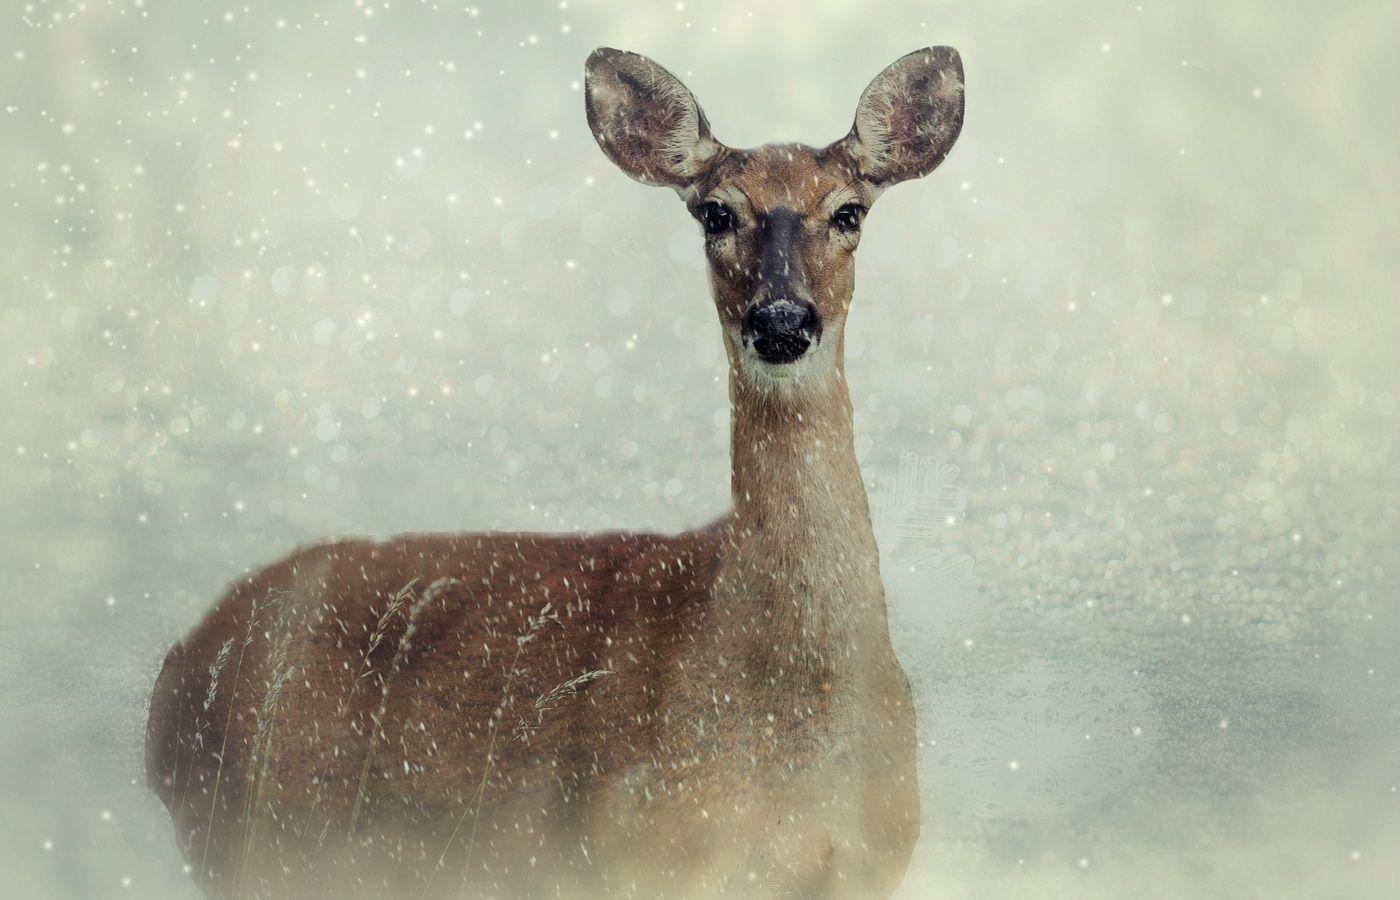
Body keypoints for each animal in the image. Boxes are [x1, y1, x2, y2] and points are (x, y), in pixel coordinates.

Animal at [145, 46, 964, 899]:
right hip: (260, 841)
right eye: (715, 214)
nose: (781, 320)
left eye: (848, 212)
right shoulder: (637, 857)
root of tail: (171, 682)